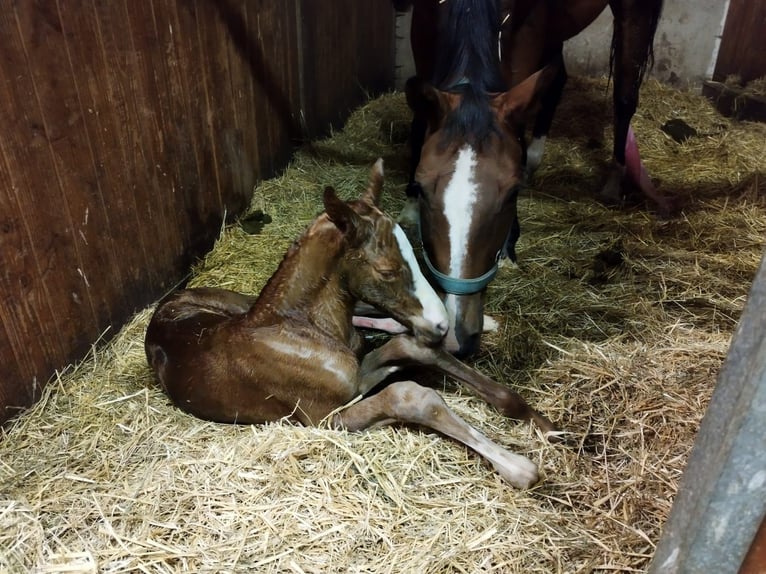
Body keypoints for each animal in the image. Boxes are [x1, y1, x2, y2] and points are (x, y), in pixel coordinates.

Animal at [147, 161, 560, 490]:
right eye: (387, 270)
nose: (441, 324)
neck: (302, 330)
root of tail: (163, 307)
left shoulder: (356, 377)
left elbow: (407, 349)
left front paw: (543, 423)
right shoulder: (327, 418)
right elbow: (409, 394)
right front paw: (518, 466)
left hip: (239, 300)